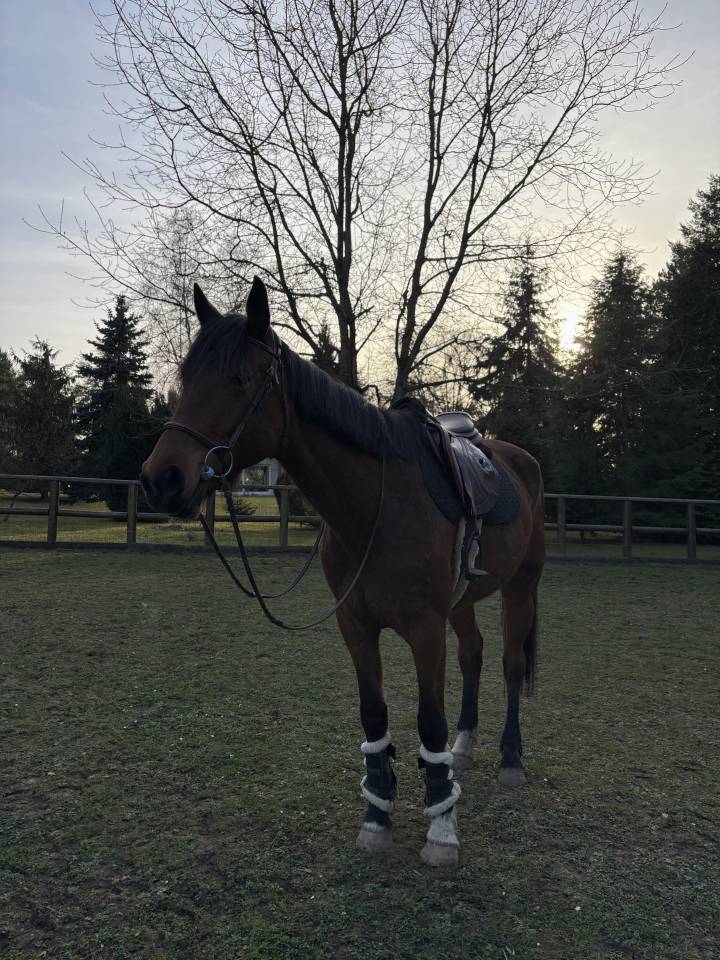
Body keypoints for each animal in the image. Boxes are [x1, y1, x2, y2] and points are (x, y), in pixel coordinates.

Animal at [140, 278, 545, 867]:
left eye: (239, 381)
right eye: (186, 380)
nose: (161, 479)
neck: (376, 503)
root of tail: (519, 460)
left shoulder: (425, 629)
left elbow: (429, 720)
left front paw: (441, 827)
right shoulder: (355, 625)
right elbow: (374, 716)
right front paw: (377, 815)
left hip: (522, 586)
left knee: (512, 665)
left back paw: (511, 758)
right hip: (465, 600)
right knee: (473, 654)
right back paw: (466, 745)